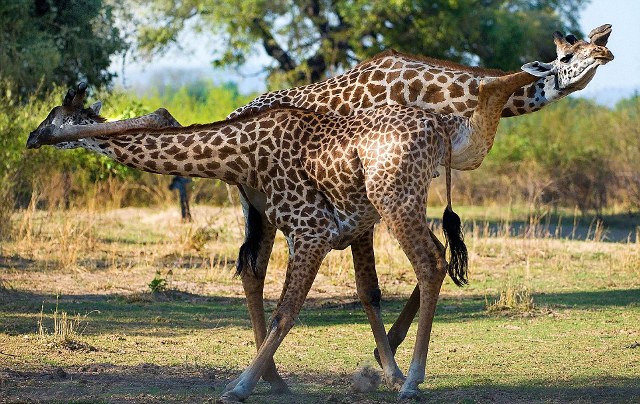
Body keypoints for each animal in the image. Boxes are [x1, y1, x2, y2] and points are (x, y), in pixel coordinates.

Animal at [27, 57, 568, 400]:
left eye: (57, 115)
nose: (32, 136)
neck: (238, 152)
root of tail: (437, 132)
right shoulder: (306, 229)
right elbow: (327, 297)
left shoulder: (310, 232)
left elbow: (287, 311)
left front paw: (239, 387)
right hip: (401, 203)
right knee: (430, 262)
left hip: (396, 201)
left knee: (430, 264)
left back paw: (412, 381)